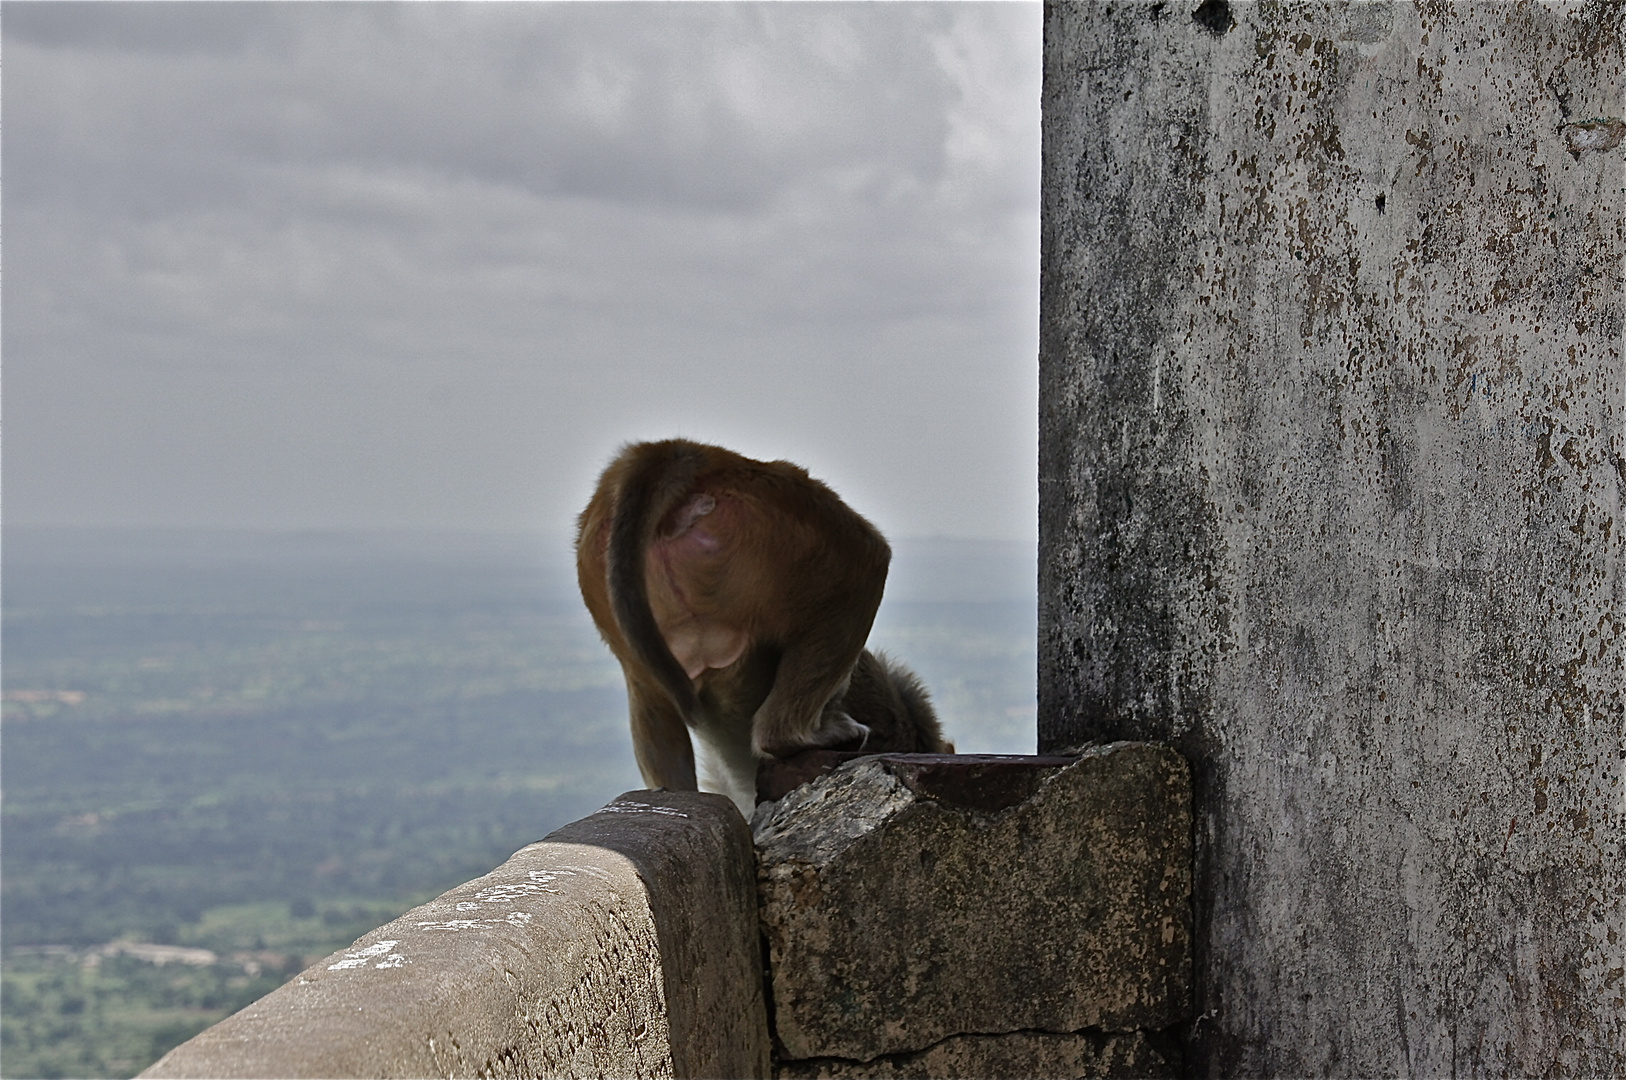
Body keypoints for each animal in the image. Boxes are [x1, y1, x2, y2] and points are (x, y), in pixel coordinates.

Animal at [578, 435, 949, 813]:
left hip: (604, 576)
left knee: (649, 692)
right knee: (864, 563)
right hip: (786, 527)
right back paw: (794, 735)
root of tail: (698, 455)